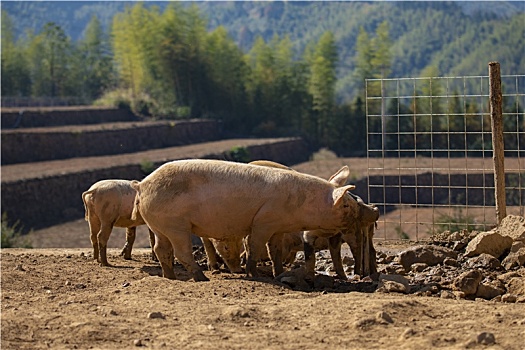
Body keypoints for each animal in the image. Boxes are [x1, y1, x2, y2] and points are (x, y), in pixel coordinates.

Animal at [132, 159, 360, 282]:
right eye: (345, 205)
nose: (360, 210)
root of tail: (142, 184)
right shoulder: (264, 221)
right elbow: (255, 246)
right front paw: (254, 274)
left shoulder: (278, 227)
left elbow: (275, 251)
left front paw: (279, 274)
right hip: (176, 225)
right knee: (181, 251)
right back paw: (202, 277)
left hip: (159, 225)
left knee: (161, 249)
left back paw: (169, 277)